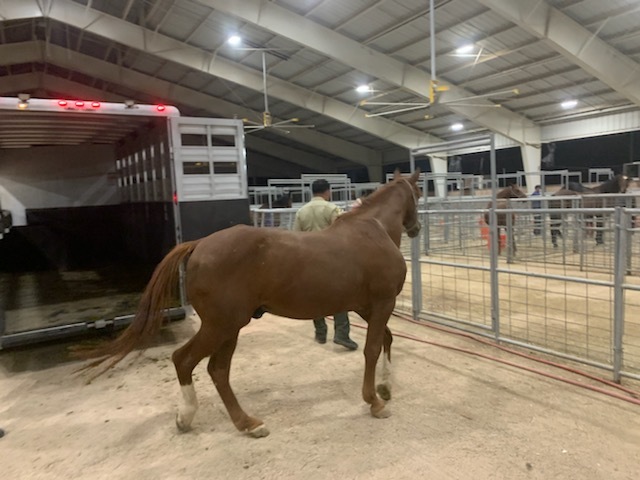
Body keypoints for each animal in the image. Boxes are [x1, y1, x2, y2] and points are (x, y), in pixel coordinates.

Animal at [80, 171, 422, 436]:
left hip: (229, 328)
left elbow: (386, 339)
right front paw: (375, 402)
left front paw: (385, 387)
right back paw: (199, 417)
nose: (416, 229)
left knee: (217, 370)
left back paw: (244, 423)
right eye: (419, 193)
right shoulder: (381, 302)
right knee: (185, 360)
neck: (374, 230)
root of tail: (199, 246)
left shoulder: (366, 306)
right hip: (222, 325)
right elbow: (372, 348)